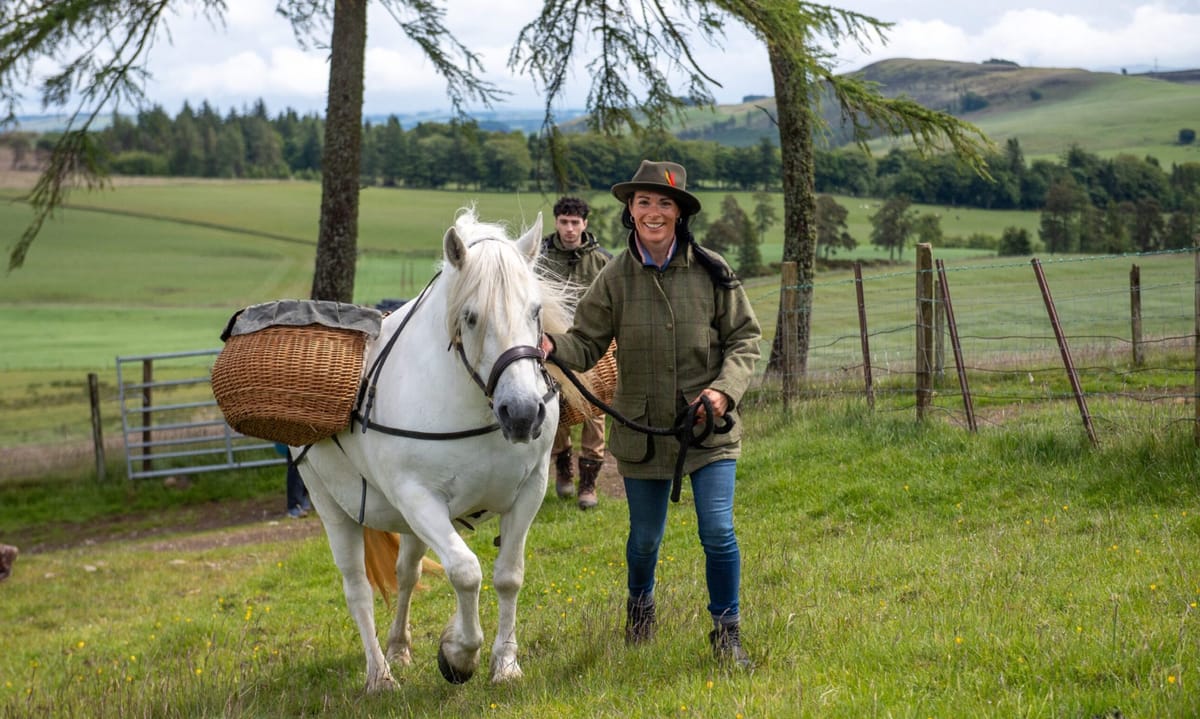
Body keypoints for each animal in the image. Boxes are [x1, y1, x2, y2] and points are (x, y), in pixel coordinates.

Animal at [295, 206, 576, 691]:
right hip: (331, 506)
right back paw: (380, 676)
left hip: (407, 525)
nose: (522, 413)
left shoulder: (530, 490)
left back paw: (398, 649)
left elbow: (508, 576)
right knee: (358, 590)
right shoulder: (419, 499)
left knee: (405, 575)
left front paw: (505, 663)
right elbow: (465, 571)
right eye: (470, 316)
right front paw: (458, 654)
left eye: (536, 310)